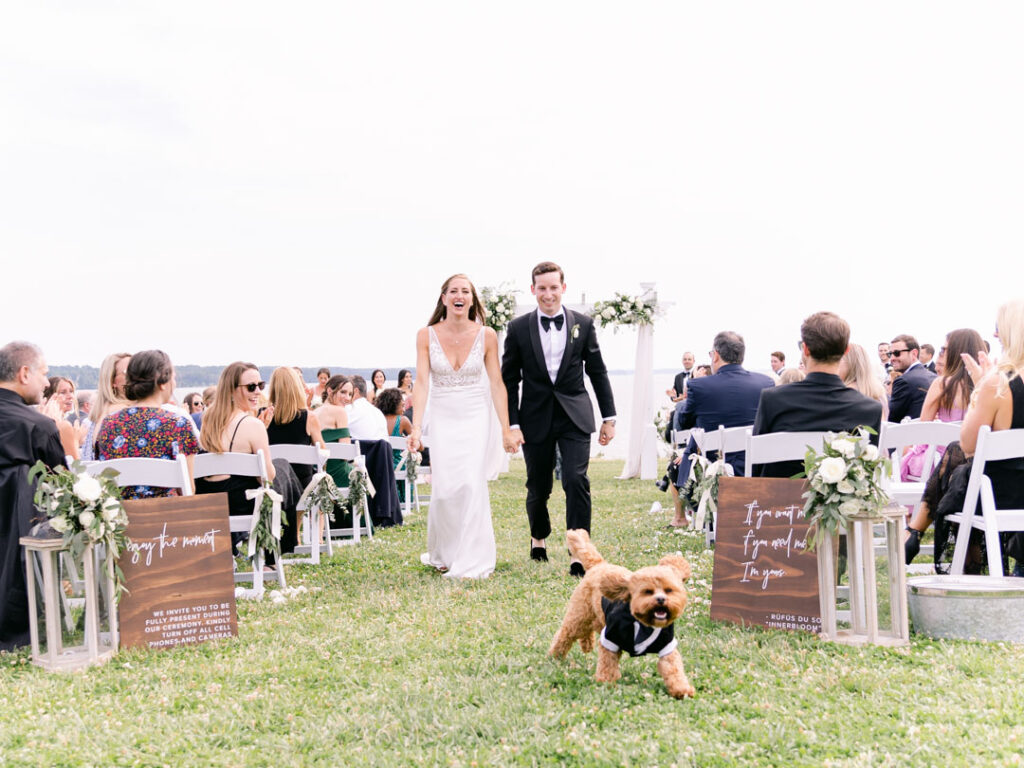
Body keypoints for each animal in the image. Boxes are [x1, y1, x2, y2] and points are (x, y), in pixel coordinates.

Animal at [544, 532, 696, 700]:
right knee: (566, 634)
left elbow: (673, 667)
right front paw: (606, 682)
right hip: (579, 614)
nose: (661, 599)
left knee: (588, 629)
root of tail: (599, 565)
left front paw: (681, 689)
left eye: (669, 590)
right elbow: (607, 664)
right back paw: (555, 656)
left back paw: (586, 643)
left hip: (596, 617)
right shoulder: (610, 637)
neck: (643, 623)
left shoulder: (666, 646)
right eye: (647, 591)